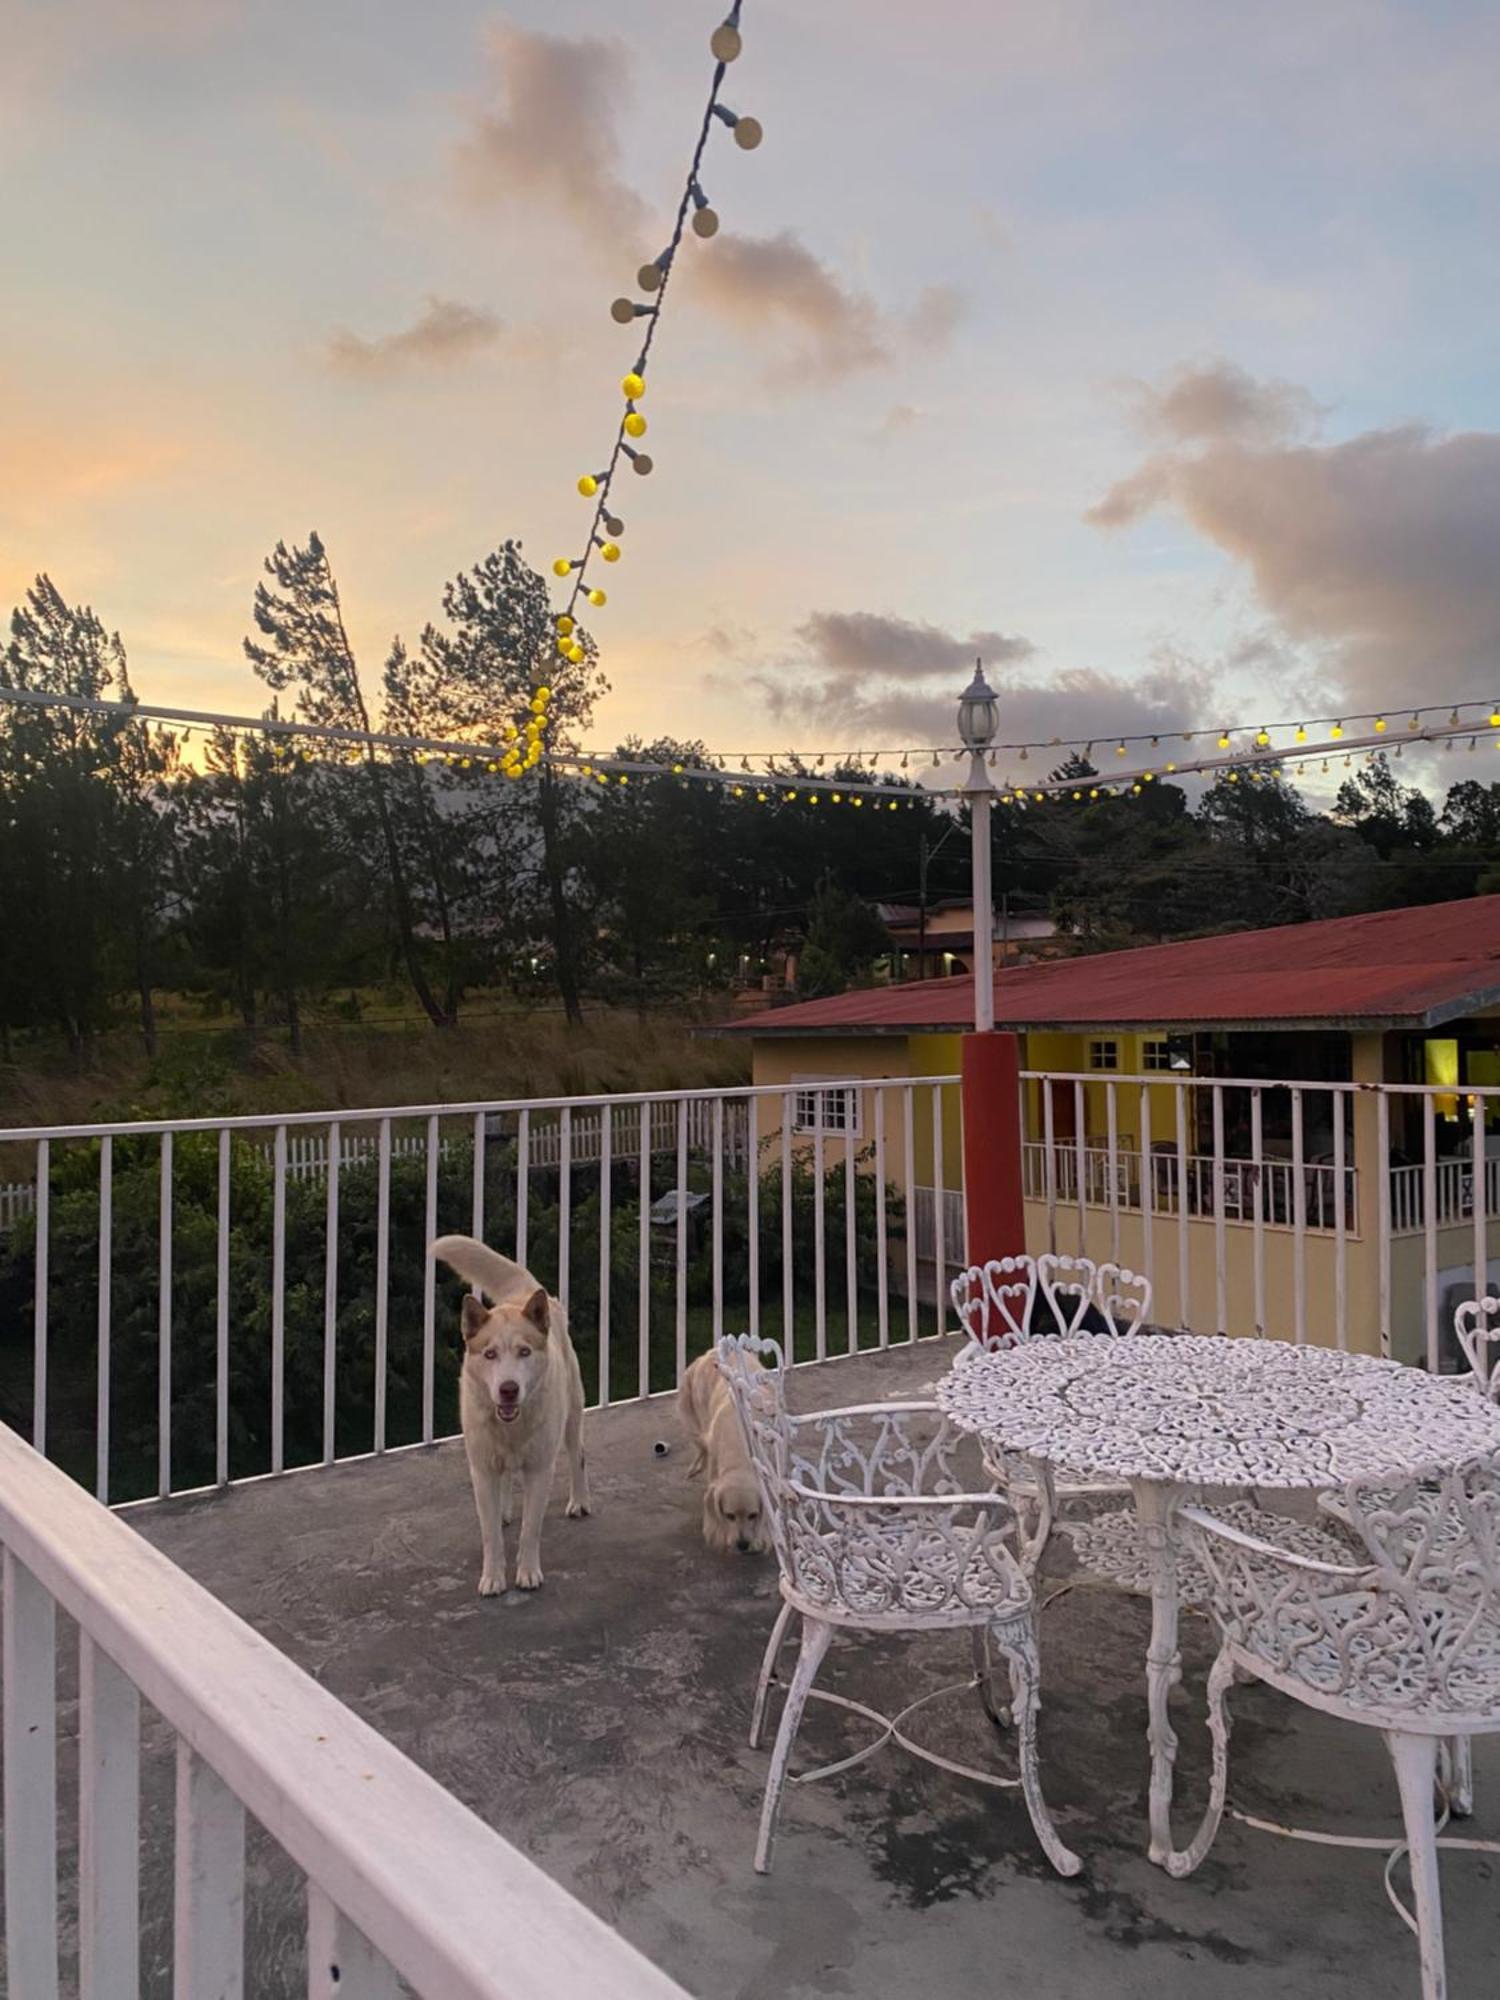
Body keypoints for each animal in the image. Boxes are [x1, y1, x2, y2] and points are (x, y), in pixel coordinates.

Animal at [432, 1232, 592, 1592]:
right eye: (490, 1354)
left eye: (524, 1352)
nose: (508, 1389)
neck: (512, 1426)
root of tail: (522, 1291)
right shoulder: (482, 1470)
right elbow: (490, 1533)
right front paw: (492, 1577)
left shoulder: (540, 1469)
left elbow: (530, 1529)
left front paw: (528, 1572)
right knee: (505, 1478)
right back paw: (505, 1509)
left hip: (572, 1415)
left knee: (577, 1454)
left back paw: (579, 1501)